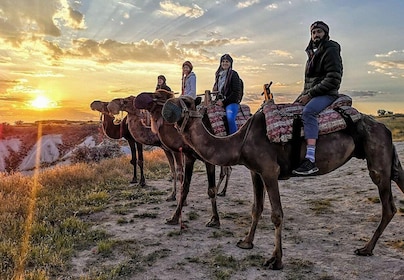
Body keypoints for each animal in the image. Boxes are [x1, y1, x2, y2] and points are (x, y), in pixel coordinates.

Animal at [161, 95, 404, 270]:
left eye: (187, 102)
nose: (167, 106)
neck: (240, 142)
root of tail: (385, 128)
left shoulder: (269, 171)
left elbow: (276, 215)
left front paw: (275, 260)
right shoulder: (255, 171)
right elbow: (256, 208)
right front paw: (246, 242)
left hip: (377, 161)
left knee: (388, 206)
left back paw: (366, 248)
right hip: (386, 159)